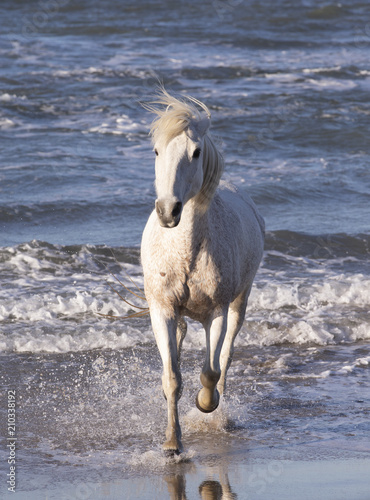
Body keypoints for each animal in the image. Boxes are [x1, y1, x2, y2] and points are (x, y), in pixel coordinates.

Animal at [140, 88, 264, 456]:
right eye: (156, 151)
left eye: (195, 153)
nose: (168, 211)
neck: (187, 252)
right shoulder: (162, 310)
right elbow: (172, 378)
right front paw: (172, 444)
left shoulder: (217, 314)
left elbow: (210, 372)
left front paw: (206, 403)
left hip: (239, 304)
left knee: (225, 357)